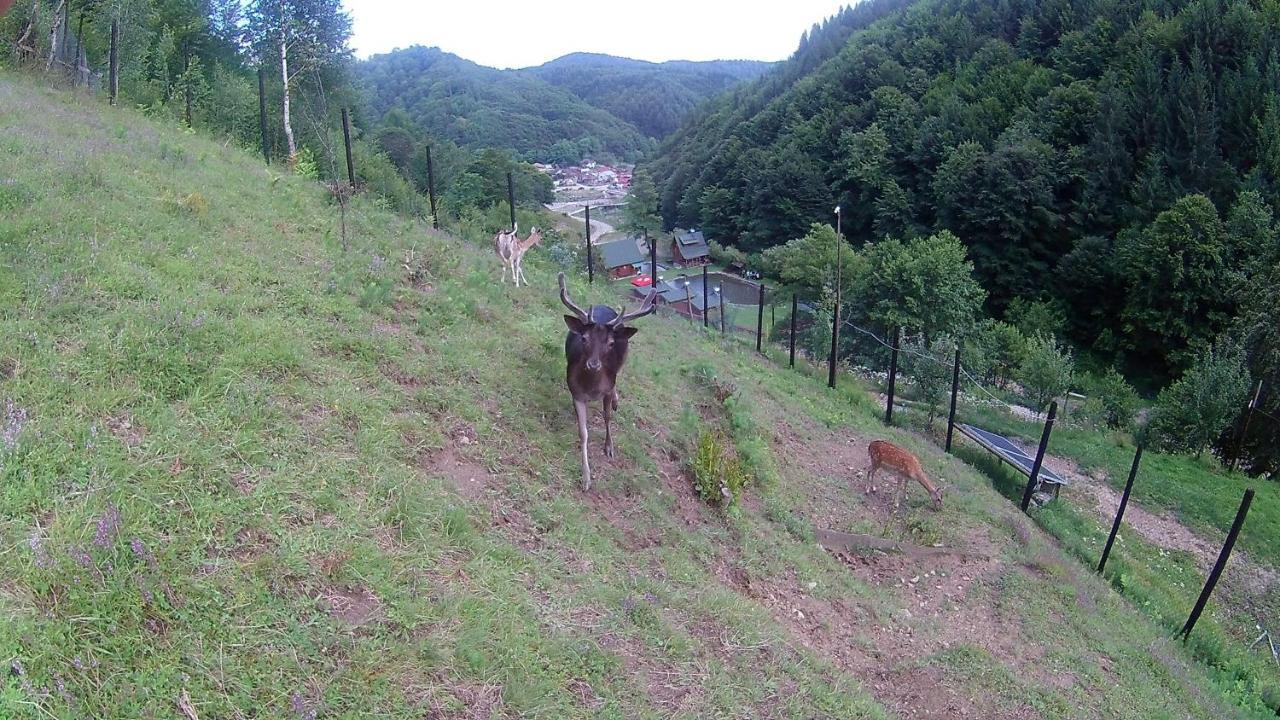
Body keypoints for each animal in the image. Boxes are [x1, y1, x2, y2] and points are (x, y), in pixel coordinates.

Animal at [560, 271, 655, 489]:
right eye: (584, 338)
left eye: (611, 343)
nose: (594, 364)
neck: (592, 388)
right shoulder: (576, 392)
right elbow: (583, 432)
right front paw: (586, 477)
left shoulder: (608, 388)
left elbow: (607, 417)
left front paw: (609, 448)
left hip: (623, 360)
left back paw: (617, 402)